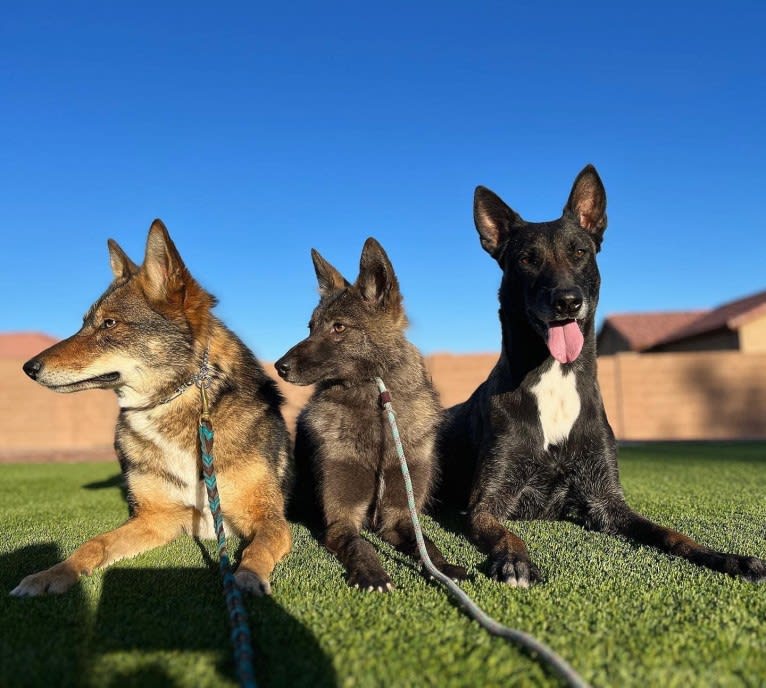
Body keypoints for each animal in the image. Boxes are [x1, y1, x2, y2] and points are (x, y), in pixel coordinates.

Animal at [276, 238, 468, 592]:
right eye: (311, 327)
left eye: (339, 327)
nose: (280, 367)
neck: (376, 409)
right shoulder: (341, 520)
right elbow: (360, 543)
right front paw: (372, 574)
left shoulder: (400, 517)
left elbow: (428, 545)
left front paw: (445, 568)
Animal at [438, 163, 766, 584]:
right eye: (527, 259)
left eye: (579, 252)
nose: (567, 301)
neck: (554, 379)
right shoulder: (485, 504)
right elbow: (506, 532)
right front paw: (515, 559)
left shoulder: (608, 503)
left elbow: (669, 533)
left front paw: (724, 556)